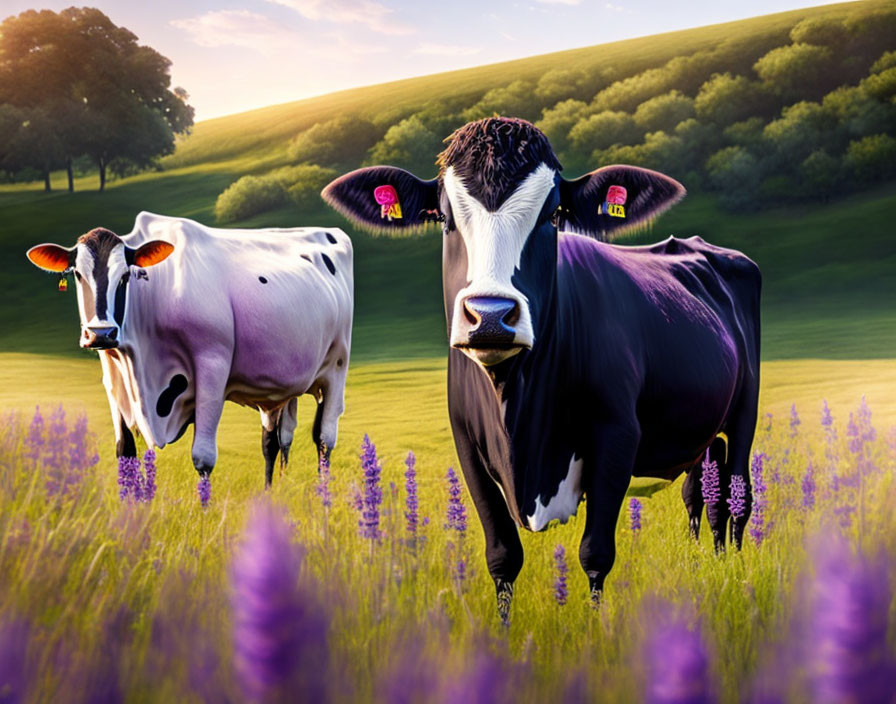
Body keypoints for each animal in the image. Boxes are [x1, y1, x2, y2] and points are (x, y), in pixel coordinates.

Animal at [24, 213, 354, 490]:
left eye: (126, 276)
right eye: (77, 275)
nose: (101, 333)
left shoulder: (212, 366)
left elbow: (203, 458)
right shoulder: (113, 378)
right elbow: (125, 452)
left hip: (336, 366)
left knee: (324, 438)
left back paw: (323, 496)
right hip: (280, 388)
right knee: (274, 441)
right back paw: (272, 493)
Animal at [326, 118, 760, 624]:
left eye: (553, 216)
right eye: (445, 219)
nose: (491, 316)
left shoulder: (617, 433)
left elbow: (596, 553)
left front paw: (595, 629)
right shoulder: (466, 441)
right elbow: (502, 555)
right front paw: (505, 632)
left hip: (745, 413)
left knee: (737, 494)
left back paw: (735, 571)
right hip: (699, 428)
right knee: (702, 494)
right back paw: (705, 563)